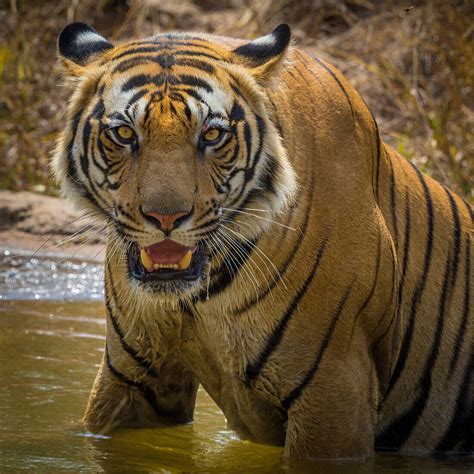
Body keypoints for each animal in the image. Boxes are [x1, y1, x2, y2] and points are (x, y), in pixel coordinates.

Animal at [51, 21, 470, 460]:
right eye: (124, 133)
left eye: (212, 135)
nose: (166, 217)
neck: (198, 301)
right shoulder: (132, 378)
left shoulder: (334, 392)